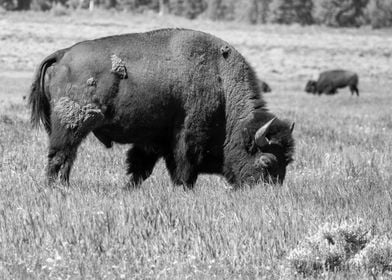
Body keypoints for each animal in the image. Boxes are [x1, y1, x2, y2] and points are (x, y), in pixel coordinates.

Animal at [29, 28, 294, 189]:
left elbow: (139, 168)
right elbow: (183, 171)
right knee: (60, 156)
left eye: (288, 162)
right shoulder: (184, 140)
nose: (269, 193)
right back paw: (56, 187)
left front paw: (128, 189)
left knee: (66, 157)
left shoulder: (152, 141)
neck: (220, 82)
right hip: (71, 125)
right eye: (267, 162)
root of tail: (62, 55)